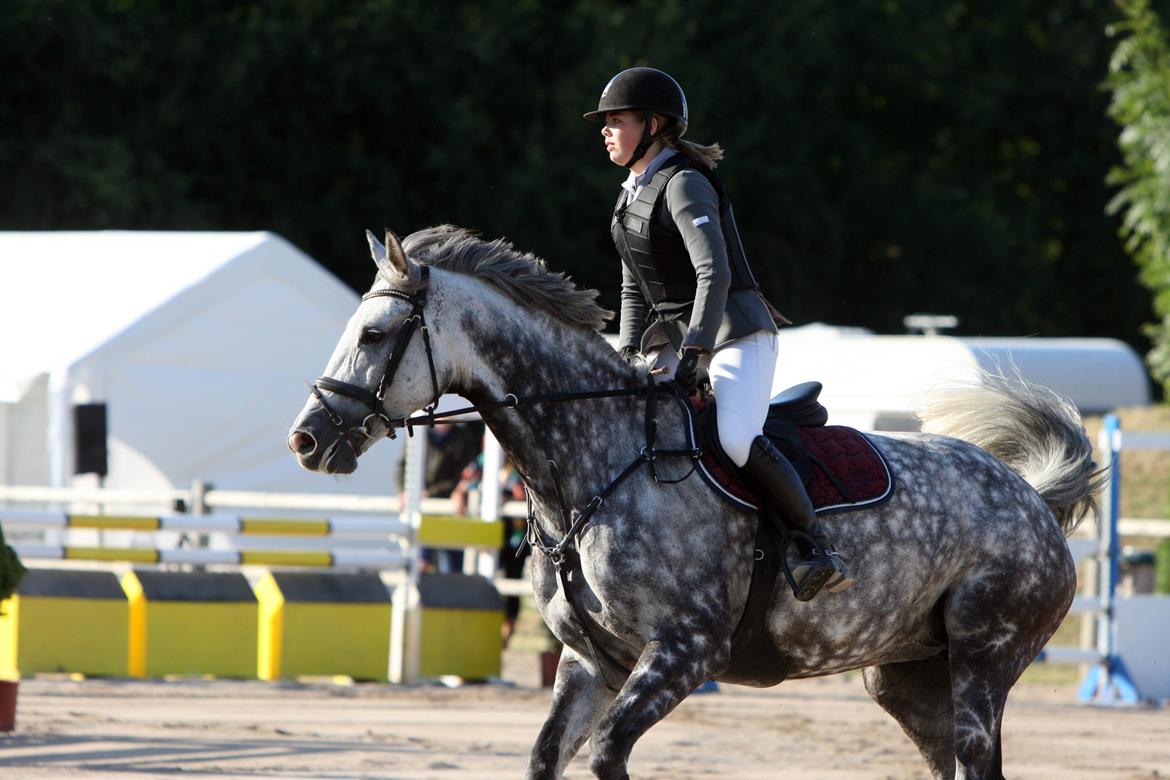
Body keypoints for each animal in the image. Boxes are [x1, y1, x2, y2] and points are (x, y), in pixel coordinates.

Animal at [287, 225, 1099, 780]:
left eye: (374, 333)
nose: (307, 440)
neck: (592, 462)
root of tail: (1030, 497)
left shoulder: (686, 652)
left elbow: (608, 756)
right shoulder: (589, 663)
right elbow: (548, 756)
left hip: (983, 658)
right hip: (904, 678)